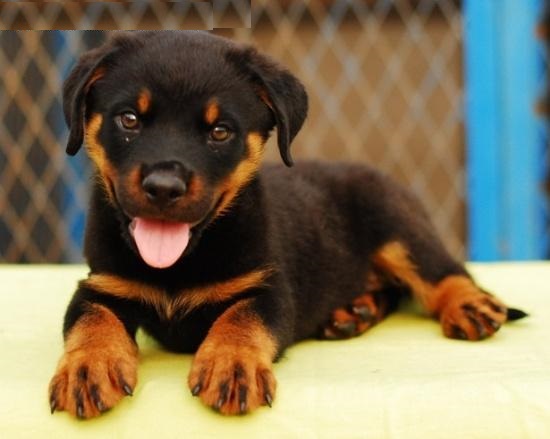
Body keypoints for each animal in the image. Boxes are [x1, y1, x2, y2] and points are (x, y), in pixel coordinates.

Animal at [48, 31, 526, 419]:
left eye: (220, 131)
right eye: (128, 119)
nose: (164, 187)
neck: (182, 261)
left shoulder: (270, 289)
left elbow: (241, 318)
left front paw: (232, 366)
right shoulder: (101, 284)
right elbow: (91, 320)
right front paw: (88, 369)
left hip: (397, 225)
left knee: (443, 270)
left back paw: (470, 306)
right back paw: (355, 312)